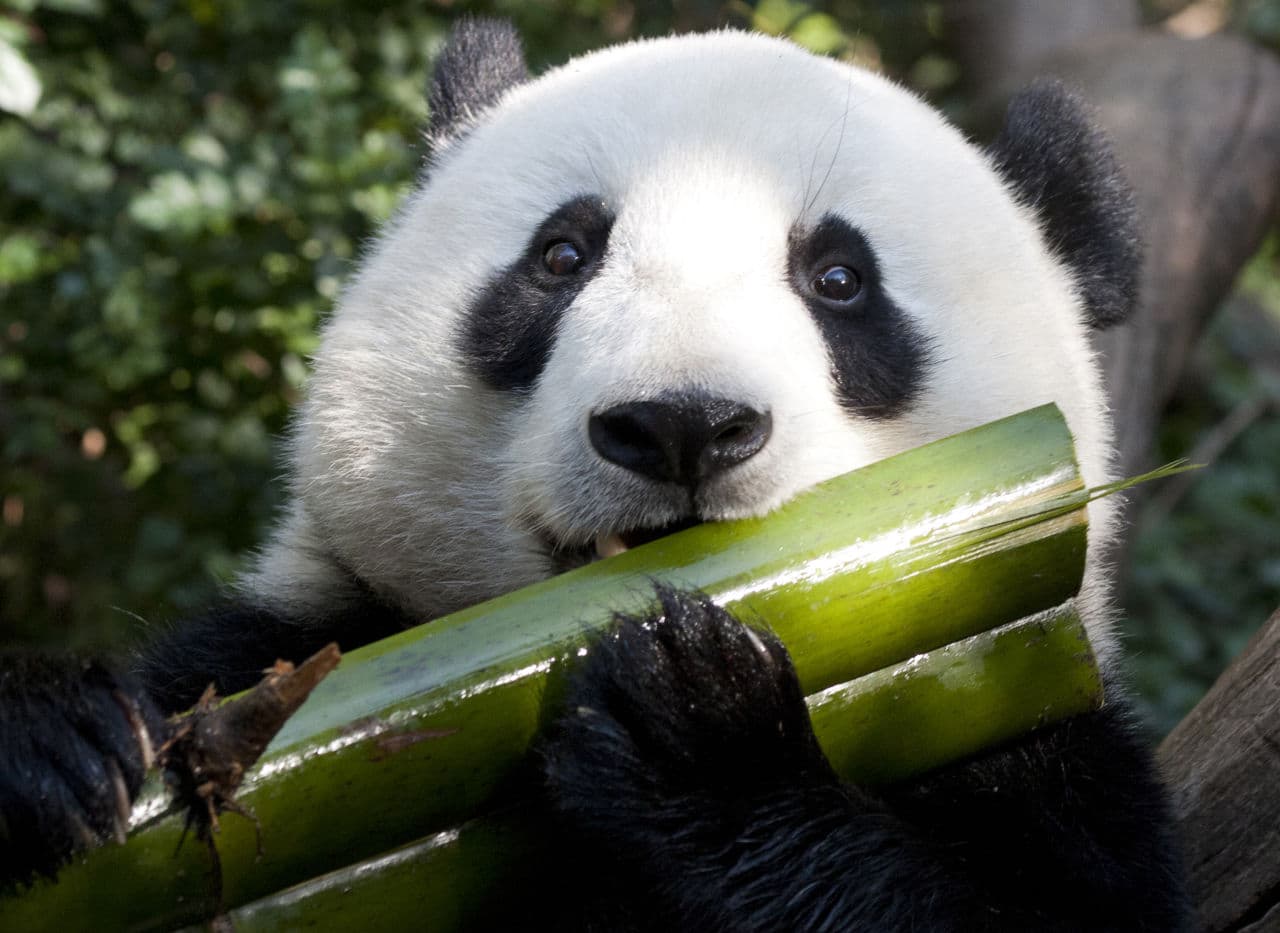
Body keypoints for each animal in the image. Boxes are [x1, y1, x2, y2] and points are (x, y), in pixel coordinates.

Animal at [0, 18, 1182, 926]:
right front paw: (54, 744)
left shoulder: (1027, 723)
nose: (682, 424)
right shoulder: (300, 643)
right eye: (562, 256)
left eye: (840, 279)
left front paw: (700, 734)